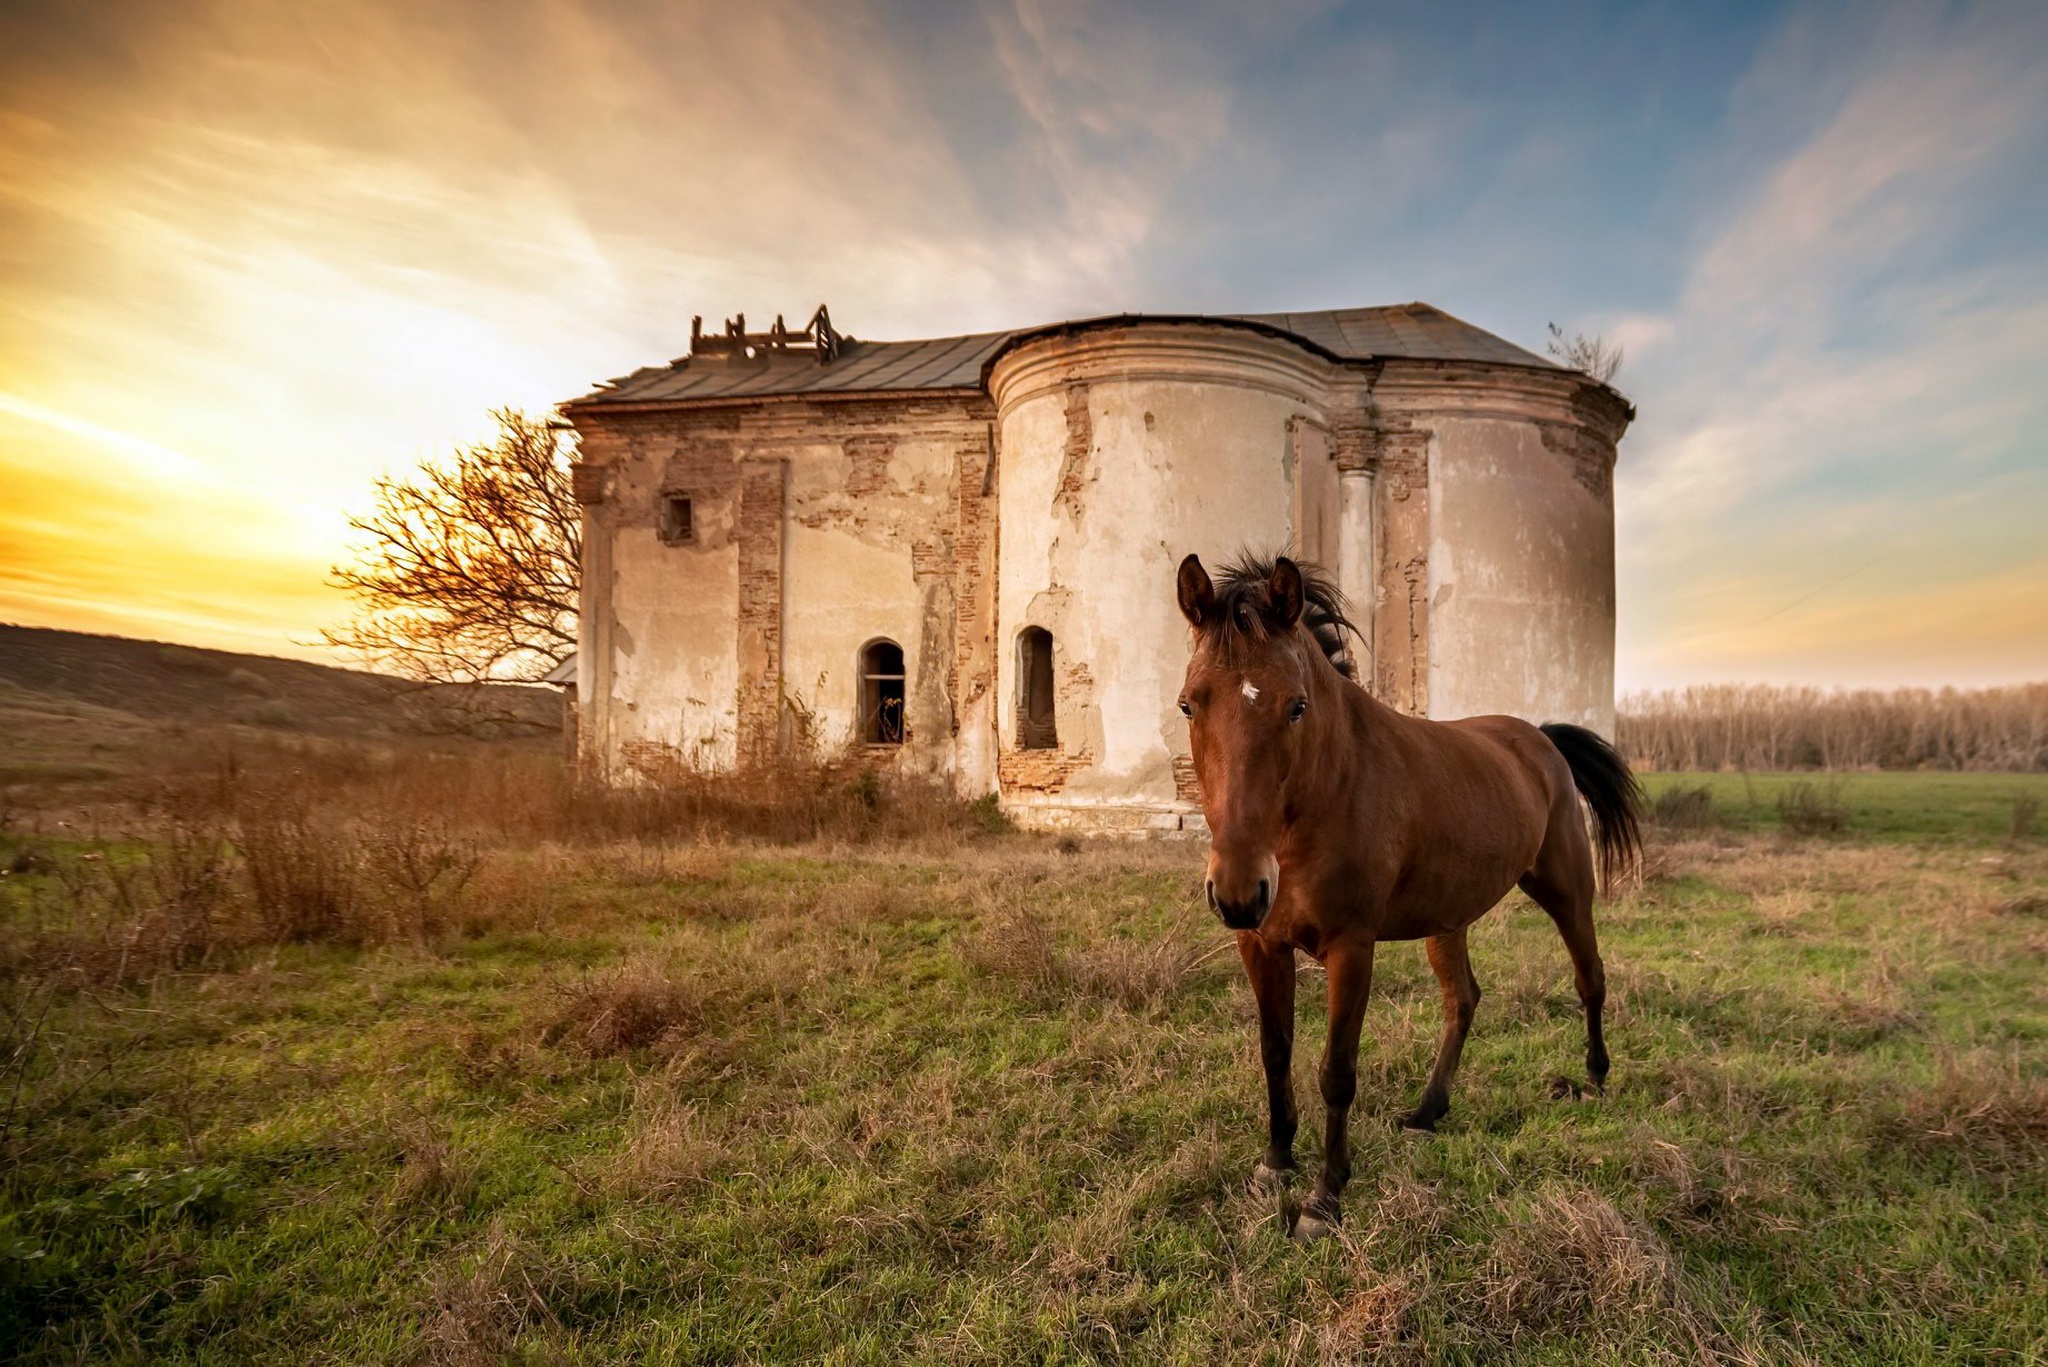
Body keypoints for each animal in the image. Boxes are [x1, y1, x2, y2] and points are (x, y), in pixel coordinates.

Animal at [1179, 549, 1638, 1246]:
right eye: (1188, 705)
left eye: (1296, 706)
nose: (1237, 888)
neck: (1328, 791)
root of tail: (1537, 738)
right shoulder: (1259, 944)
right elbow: (1275, 1052)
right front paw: (1276, 1162)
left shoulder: (1352, 948)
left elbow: (1336, 1072)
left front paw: (1324, 1199)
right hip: (1447, 920)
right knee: (1463, 1000)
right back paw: (1428, 1110)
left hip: (1566, 889)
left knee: (1590, 978)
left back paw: (1592, 1079)